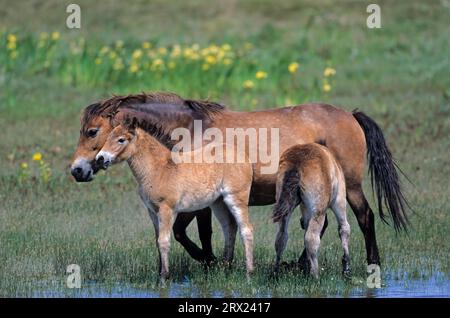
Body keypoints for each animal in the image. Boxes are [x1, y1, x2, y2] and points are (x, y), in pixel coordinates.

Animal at [69, 91, 408, 266]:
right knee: (320, 225)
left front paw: (209, 261)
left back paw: (372, 264)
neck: (190, 129)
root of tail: (351, 115)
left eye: (93, 131)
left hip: (349, 186)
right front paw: (213, 261)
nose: (78, 170)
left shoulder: (198, 199)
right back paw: (299, 265)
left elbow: (189, 232)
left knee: (365, 217)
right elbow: (193, 232)